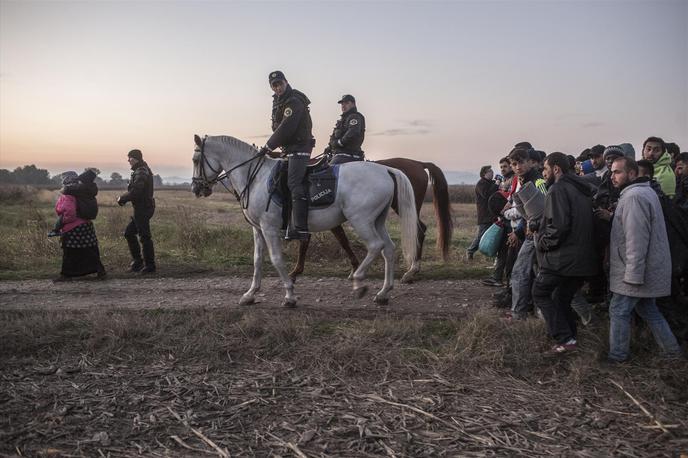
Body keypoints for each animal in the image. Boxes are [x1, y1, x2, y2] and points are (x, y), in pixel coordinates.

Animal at [191, 135, 422, 308]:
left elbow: (276, 259)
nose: (196, 188)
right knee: (388, 249)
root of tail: (386, 169)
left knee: (376, 246)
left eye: (195, 160)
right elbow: (257, 260)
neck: (255, 177)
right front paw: (250, 294)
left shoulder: (269, 228)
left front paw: (290, 296)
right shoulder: (258, 230)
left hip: (361, 220)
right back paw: (383, 293)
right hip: (377, 221)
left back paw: (359, 282)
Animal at [288, 159, 454, 284]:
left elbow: (338, 241)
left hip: (404, 208)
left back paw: (411, 271)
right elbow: (340, 240)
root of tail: (419, 163)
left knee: (419, 230)